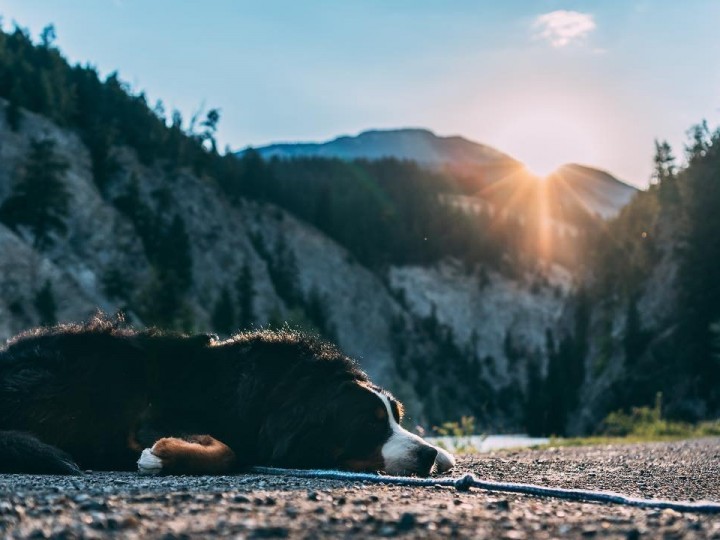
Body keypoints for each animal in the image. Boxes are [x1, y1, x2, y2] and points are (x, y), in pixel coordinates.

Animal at [0, 316, 452, 476]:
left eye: (395, 417)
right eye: (367, 425)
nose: (426, 454)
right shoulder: (155, 415)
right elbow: (229, 452)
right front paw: (162, 455)